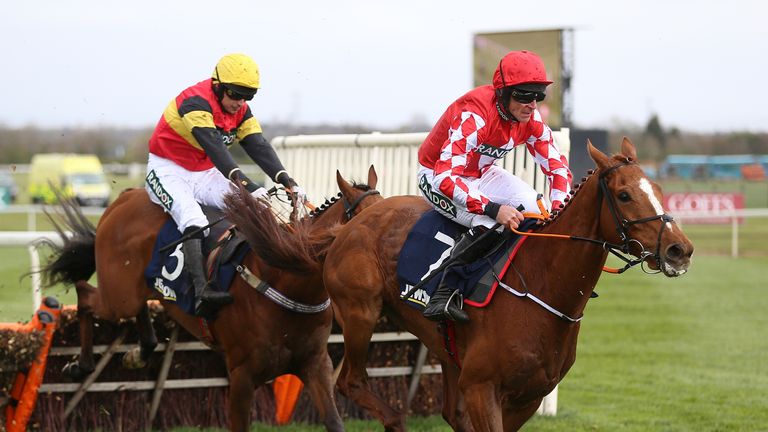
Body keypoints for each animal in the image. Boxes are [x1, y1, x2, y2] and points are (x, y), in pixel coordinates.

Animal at [39, 166, 380, 432]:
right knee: (85, 294)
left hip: (135, 292)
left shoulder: (315, 364)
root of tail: (123, 198)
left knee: (135, 310)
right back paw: (80, 364)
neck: (284, 280)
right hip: (117, 296)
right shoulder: (241, 376)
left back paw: (140, 350)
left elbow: (334, 422)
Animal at [237, 139, 692, 432]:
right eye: (625, 195)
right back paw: (394, 419)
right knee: (349, 381)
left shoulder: (527, 398)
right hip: (359, 311)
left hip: (440, 346)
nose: (679, 250)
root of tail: (351, 224)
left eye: (659, 189)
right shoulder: (482, 389)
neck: (542, 288)